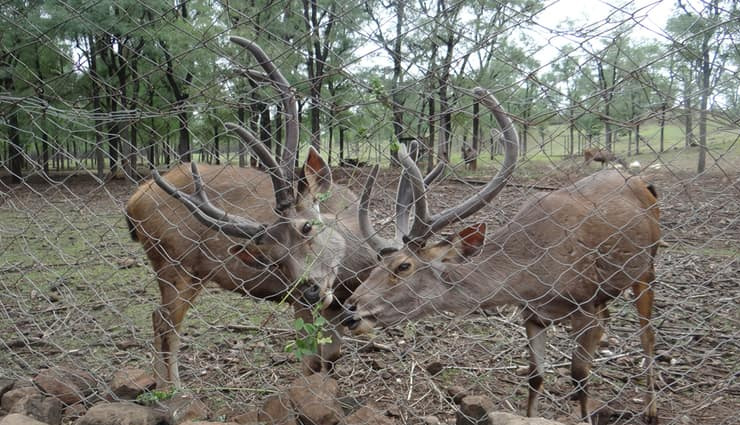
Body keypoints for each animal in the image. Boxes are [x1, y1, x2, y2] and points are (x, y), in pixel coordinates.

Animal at [125, 37, 388, 388]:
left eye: (307, 227)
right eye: (273, 258)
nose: (307, 289)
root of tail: (133, 202)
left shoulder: (336, 304)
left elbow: (331, 357)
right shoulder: (304, 304)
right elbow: (312, 360)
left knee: (159, 316)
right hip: (173, 264)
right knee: (165, 320)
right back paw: (173, 389)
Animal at [342, 87, 660, 424]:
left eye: (404, 266)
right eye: (378, 262)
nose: (350, 310)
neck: (535, 277)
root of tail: (645, 183)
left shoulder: (585, 304)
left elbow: (579, 377)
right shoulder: (532, 313)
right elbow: (535, 376)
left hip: (647, 267)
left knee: (648, 336)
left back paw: (651, 411)